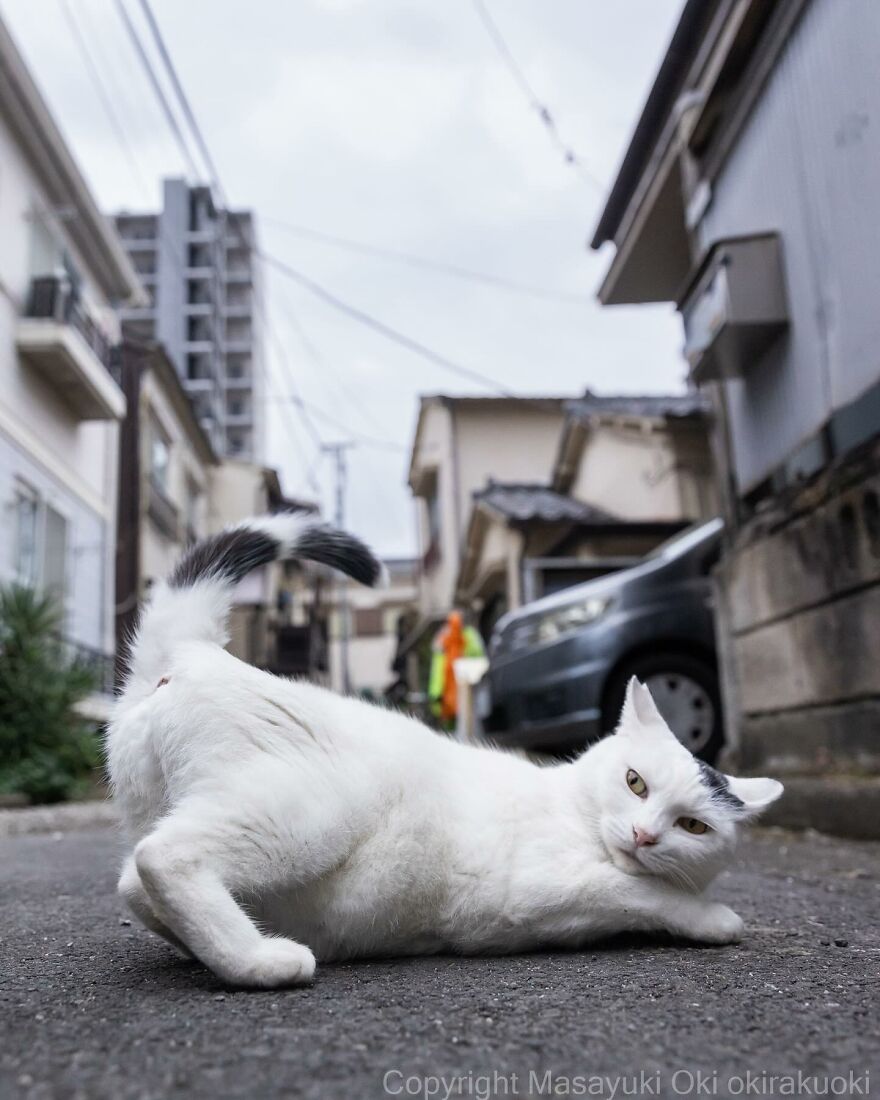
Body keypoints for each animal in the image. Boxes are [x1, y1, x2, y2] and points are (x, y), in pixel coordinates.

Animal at [108, 514, 783, 990]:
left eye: (693, 826)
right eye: (635, 781)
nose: (644, 835)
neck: (576, 809)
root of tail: (195, 653)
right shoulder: (545, 888)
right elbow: (645, 895)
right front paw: (714, 919)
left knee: (133, 880)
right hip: (309, 812)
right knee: (163, 858)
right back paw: (261, 960)